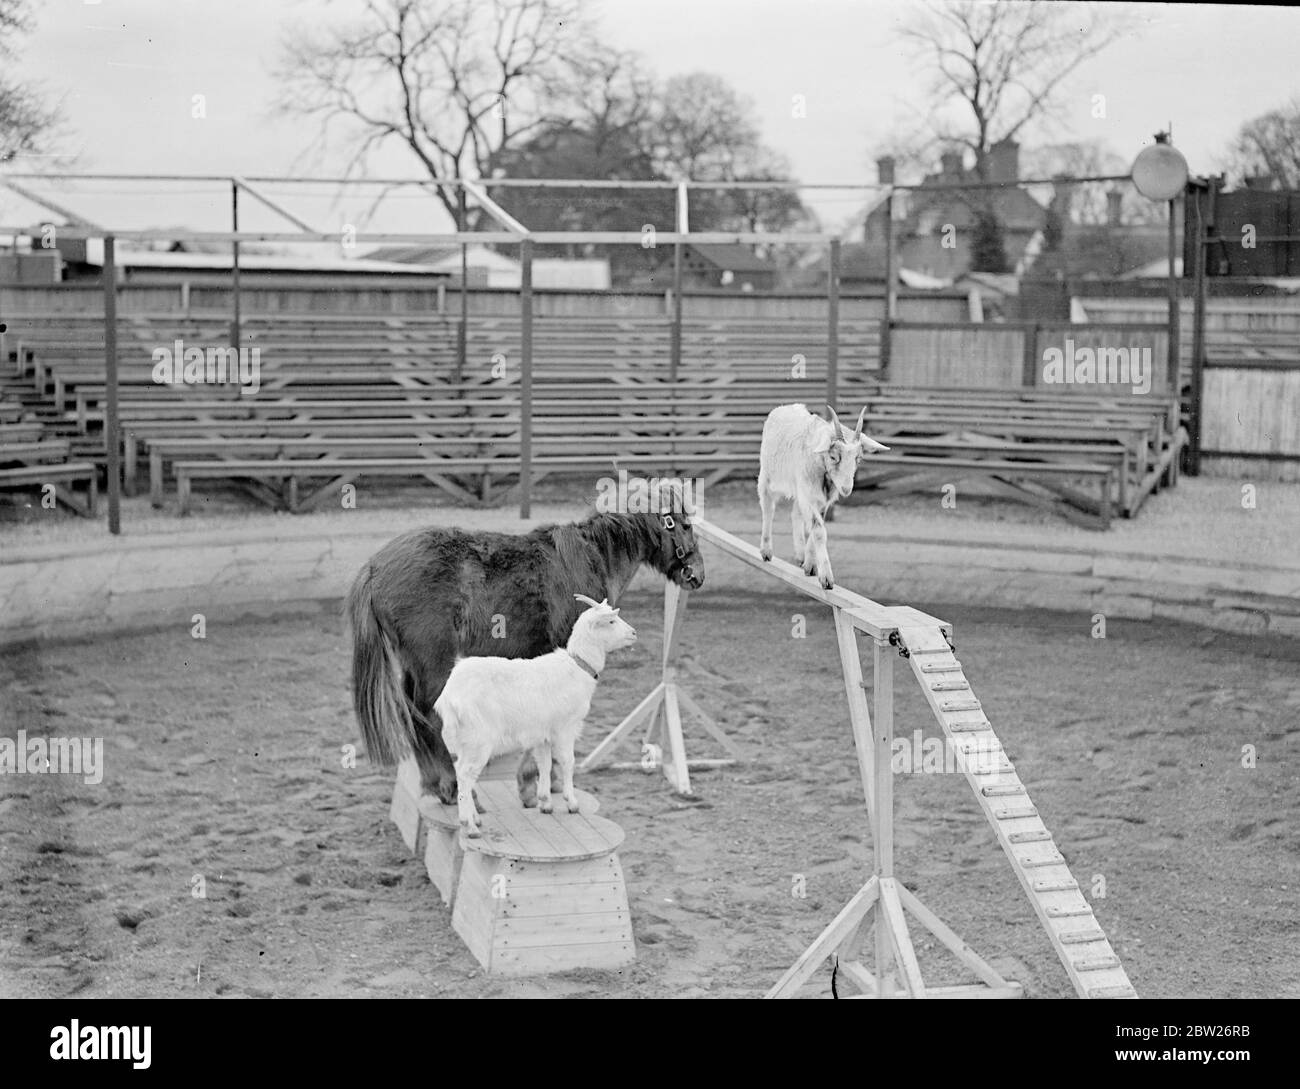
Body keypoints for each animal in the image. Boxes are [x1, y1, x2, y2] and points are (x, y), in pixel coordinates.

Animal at [343, 499, 702, 805]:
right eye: (685, 525)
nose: (697, 574)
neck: (592, 557)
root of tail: (374, 567)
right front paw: (536, 784)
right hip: (433, 662)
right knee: (428, 715)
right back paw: (453, 787)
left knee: (413, 717)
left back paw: (434, 784)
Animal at [434, 597, 637, 836]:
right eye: (612, 621)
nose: (634, 633)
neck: (577, 667)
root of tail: (449, 697)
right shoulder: (565, 728)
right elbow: (568, 762)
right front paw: (572, 803)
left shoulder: (543, 734)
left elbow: (545, 764)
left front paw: (545, 803)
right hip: (478, 739)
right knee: (466, 775)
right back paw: (470, 825)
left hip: (461, 741)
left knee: (461, 772)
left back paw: (475, 817)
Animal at [759, 400, 889, 587]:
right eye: (834, 457)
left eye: (858, 458)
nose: (846, 489)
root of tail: (785, 407)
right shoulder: (809, 494)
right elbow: (819, 531)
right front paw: (826, 577)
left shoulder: (820, 500)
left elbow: (816, 526)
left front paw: (810, 566)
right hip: (767, 476)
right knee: (768, 508)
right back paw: (766, 551)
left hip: (798, 489)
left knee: (795, 513)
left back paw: (800, 555)